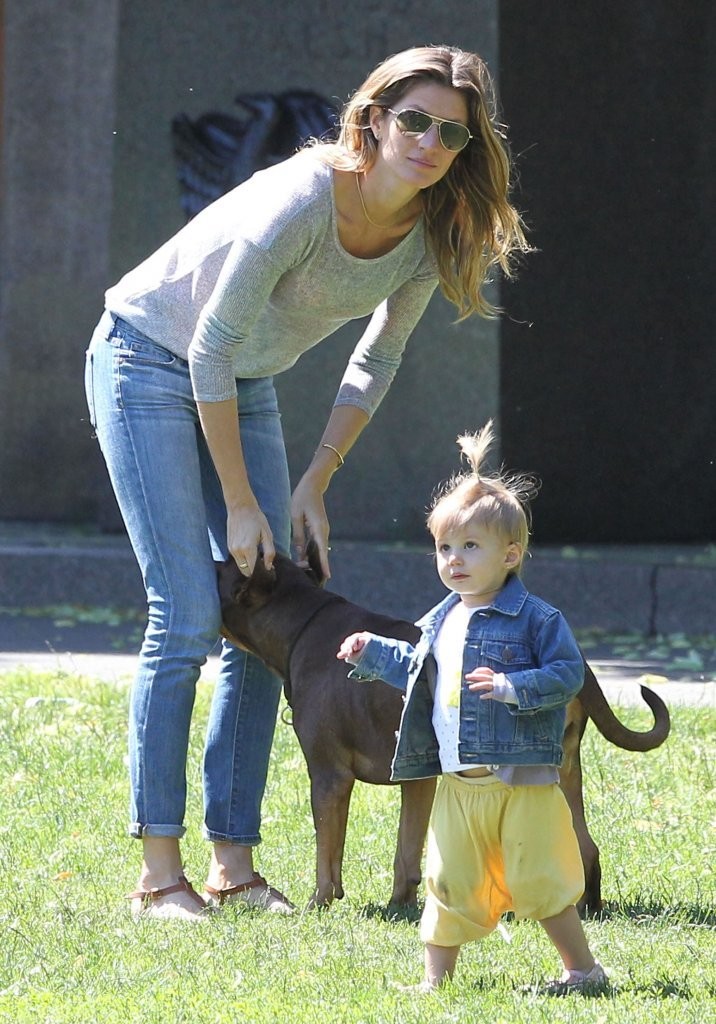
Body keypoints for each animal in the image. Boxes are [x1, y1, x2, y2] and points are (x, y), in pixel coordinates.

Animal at [217, 544, 670, 913]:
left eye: (220, 569)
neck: (303, 626)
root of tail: (572, 660)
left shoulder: (329, 776)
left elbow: (328, 852)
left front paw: (319, 902)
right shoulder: (416, 779)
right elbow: (406, 850)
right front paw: (400, 904)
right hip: (564, 771)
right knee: (585, 846)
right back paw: (581, 906)